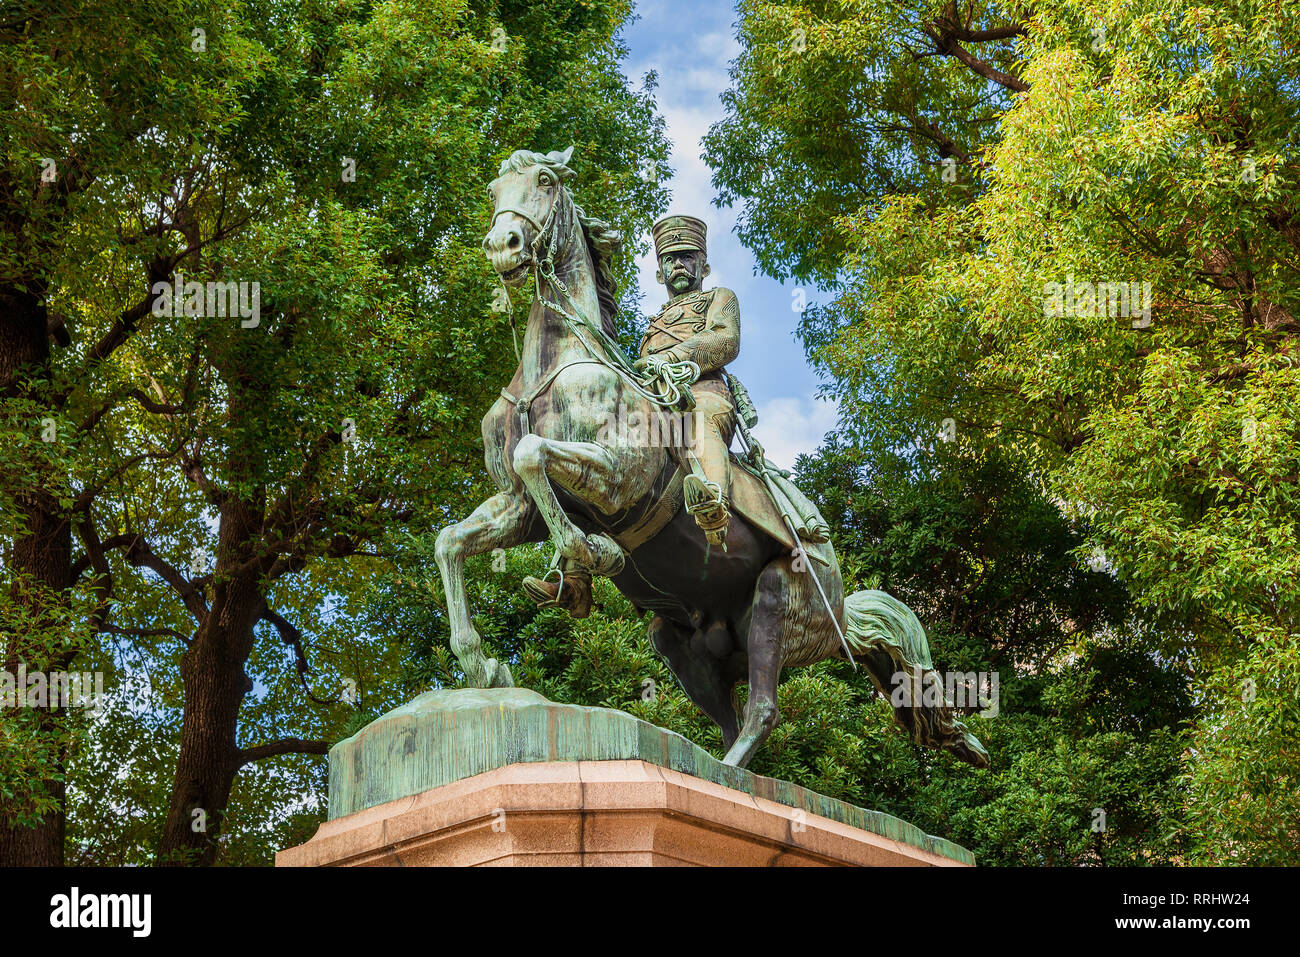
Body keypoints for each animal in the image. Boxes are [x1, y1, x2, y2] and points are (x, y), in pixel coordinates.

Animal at [431, 143, 987, 769]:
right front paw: (482, 661)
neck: (553, 367)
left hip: (776, 603)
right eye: (494, 189)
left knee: (762, 710)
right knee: (726, 715)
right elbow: (451, 539)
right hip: (678, 638)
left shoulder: (617, 479)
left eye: (546, 180)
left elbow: (533, 455)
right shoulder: (517, 506)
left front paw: (593, 552)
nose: (503, 245)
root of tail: (844, 612)